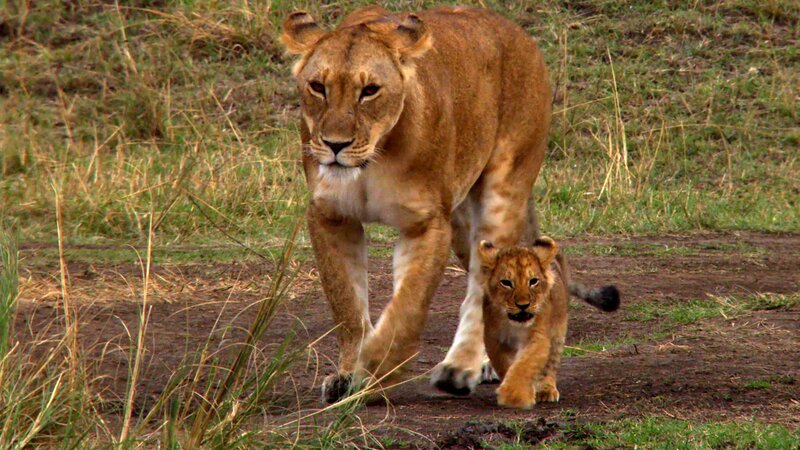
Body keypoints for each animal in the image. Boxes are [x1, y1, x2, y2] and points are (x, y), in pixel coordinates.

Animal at [282, 6, 553, 403]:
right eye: (318, 86)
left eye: (369, 91)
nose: (335, 145)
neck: (373, 160)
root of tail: (517, 31)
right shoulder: (331, 216)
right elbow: (347, 303)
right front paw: (348, 374)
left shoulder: (426, 224)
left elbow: (407, 305)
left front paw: (377, 366)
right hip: (461, 221)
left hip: (504, 189)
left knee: (483, 285)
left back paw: (462, 368)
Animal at [478, 238, 620, 409]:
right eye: (506, 282)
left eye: (533, 281)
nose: (523, 305)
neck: (515, 324)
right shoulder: (494, 339)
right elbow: (506, 365)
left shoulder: (538, 337)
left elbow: (524, 365)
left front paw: (516, 396)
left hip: (558, 331)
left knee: (550, 364)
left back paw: (546, 390)